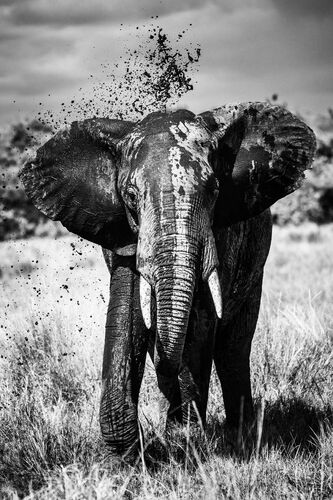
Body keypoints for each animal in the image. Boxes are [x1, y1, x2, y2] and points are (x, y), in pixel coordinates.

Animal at [19, 101, 316, 460]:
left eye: (215, 191)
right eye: (131, 196)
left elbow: (200, 322)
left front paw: (184, 441)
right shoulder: (123, 232)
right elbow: (128, 315)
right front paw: (131, 457)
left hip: (255, 267)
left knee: (233, 348)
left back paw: (241, 435)